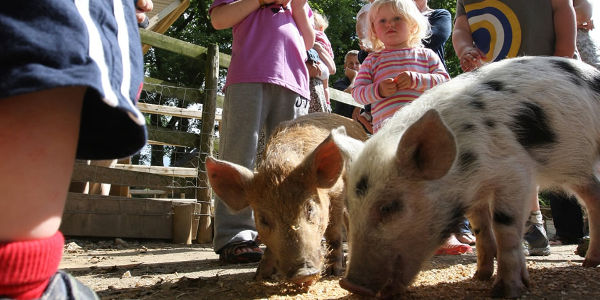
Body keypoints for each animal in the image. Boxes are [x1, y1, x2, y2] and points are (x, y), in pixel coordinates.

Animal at [330, 56, 600, 298]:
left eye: (389, 207)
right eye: (349, 210)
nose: (350, 284)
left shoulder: (516, 173)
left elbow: (504, 228)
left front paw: (505, 291)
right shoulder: (475, 193)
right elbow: (481, 228)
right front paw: (479, 276)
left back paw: (588, 263)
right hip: (577, 170)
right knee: (592, 195)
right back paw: (589, 262)